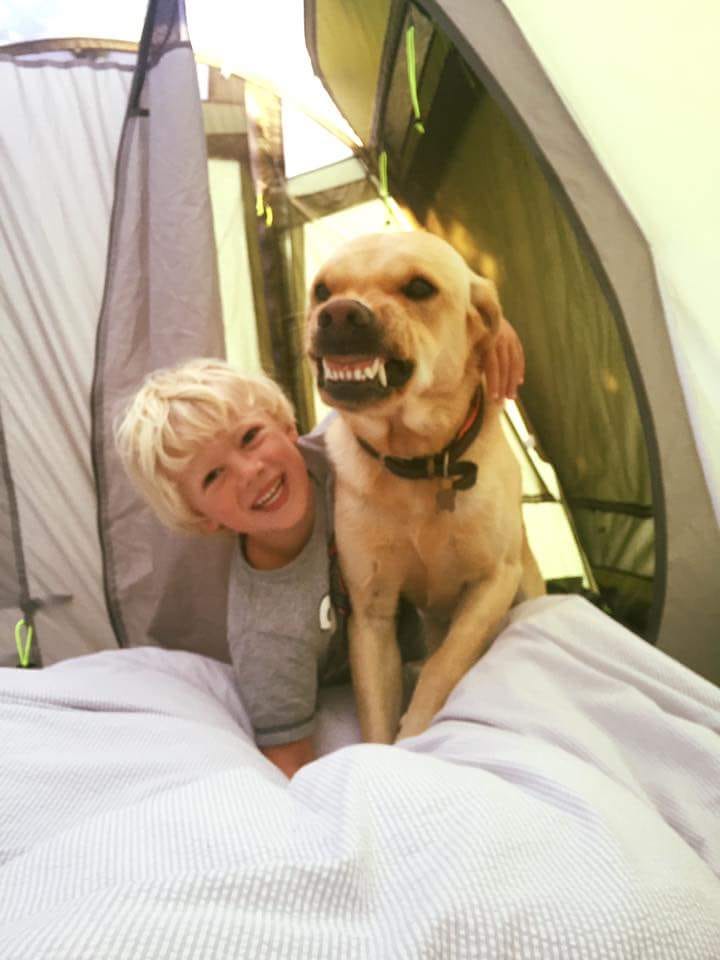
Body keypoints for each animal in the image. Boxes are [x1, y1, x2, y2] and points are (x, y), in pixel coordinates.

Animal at [305, 231, 545, 743]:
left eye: (419, 287)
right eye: (322, 290)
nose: (339, 314)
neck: (419, 465)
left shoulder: (494, 582)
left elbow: (443, 667)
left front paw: (414, 733)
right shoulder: (371, 610)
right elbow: (375, 708)